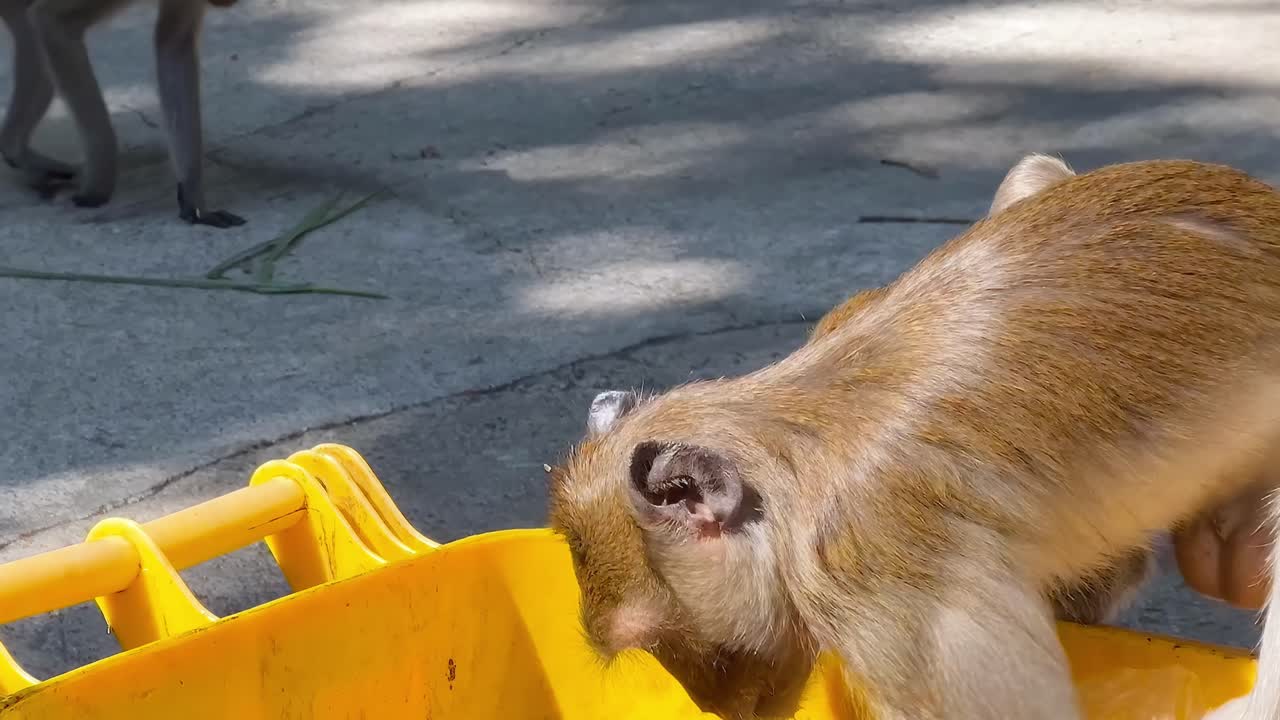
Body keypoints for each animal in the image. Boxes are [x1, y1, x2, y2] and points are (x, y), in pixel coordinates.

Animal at [0, 0, 244, 228]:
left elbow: (174, 43)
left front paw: (194, 202)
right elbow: (52, 21)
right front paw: (97, 188)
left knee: (28, 37)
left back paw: (16, 152)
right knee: (33, 33)